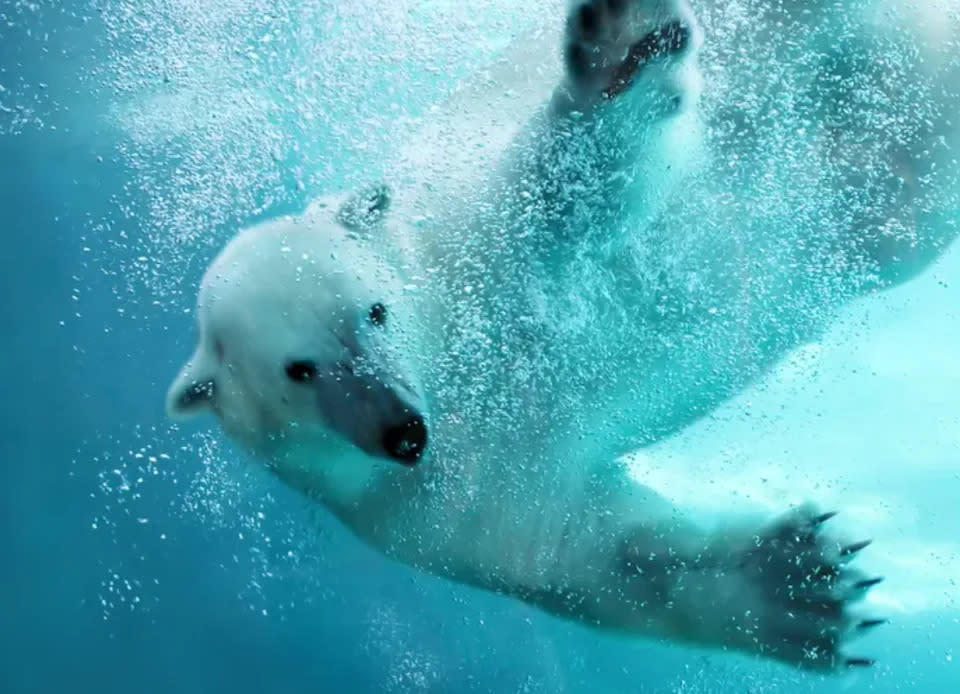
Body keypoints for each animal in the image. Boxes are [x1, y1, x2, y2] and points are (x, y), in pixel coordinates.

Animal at [169, 0, 956, 676]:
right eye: (298, 371)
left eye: (374, 312)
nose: (404, 432)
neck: (450, 358)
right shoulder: (431, 508)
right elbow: (592, 553)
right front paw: (801, 587)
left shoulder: (476, 237)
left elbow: (572, 183)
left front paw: (623, 49)